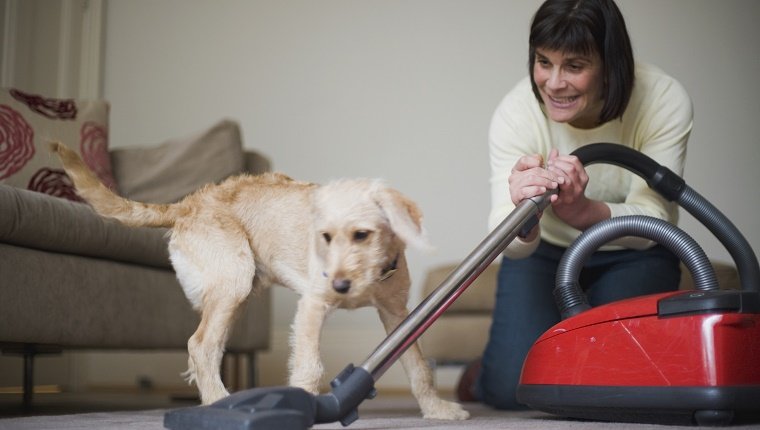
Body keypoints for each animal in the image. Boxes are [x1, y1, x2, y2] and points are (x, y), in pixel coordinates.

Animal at [50, 142, 470, 420]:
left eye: (362, 235)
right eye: (324, 237)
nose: (339, 286)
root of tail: (187, 204)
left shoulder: (398, 315)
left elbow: (418, 368)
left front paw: (437, 409)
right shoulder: (312, 307)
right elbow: (309, 366)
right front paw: (307, 407)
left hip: (236, 293)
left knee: (209, 348)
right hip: (232, 282)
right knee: (200, 346)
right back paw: (218, 403)